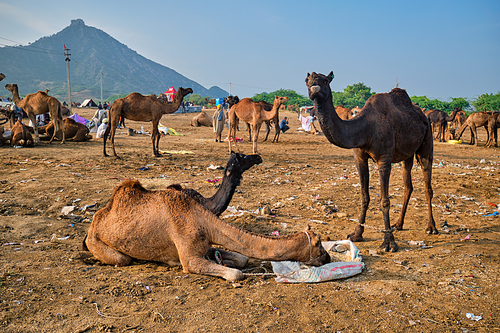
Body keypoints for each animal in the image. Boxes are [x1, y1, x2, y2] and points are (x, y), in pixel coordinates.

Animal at [83, 179, 330, 280]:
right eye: (318, 244)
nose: (327, 258)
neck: (203, 220)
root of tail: (95, 221)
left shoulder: (205, 245)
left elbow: (241, 259)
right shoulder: (189, 258)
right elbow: (236, 273)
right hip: (97, 241)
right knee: (122, 259)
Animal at [304, 70, 438, 252]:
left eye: (325, 80)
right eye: (306, 80)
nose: (314, 82)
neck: (366, 128)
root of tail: (424, 115)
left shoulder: (384, 160)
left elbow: (385, 201)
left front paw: (389, 243)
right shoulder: (359, 157)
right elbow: (364, 196)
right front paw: (356, 234)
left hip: (427, 140)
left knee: (427, 184)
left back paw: (431, 227)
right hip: (407, 154)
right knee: (408, 185)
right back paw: (398, 224)